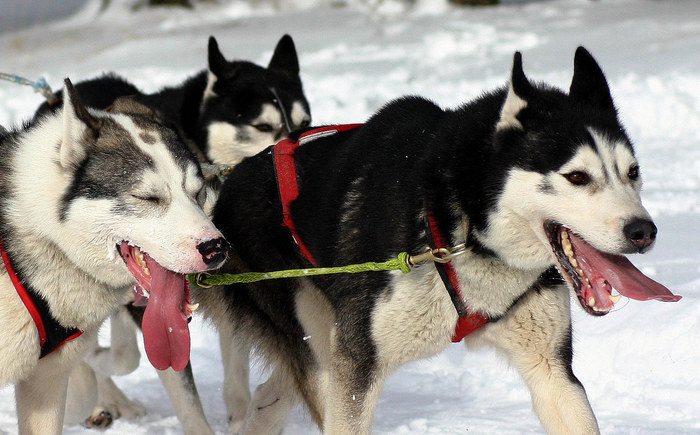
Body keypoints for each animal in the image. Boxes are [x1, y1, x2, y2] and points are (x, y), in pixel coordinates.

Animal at [200, 46, 680, 434]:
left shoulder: (551, 371)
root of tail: (231, 180)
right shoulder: (356, 371)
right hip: (319, 348)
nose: (643, 231)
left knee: (270, 397)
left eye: (632, 172)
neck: (461, 230)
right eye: (577, 177)